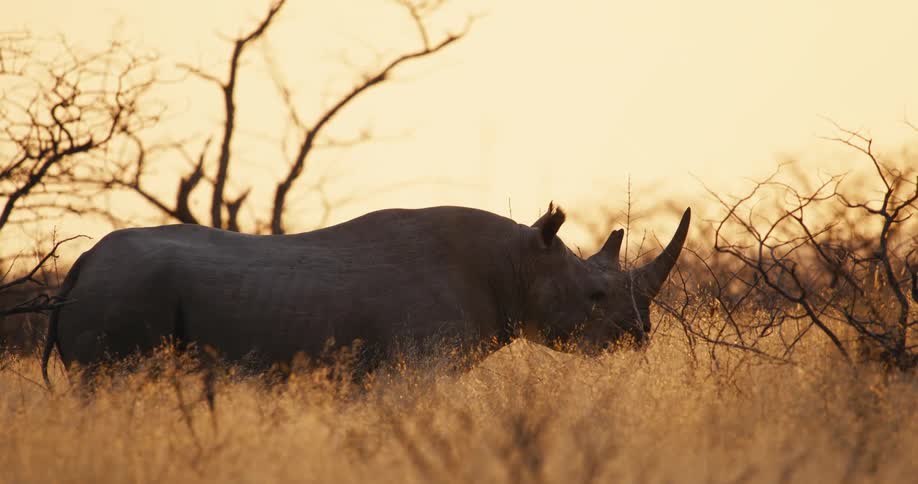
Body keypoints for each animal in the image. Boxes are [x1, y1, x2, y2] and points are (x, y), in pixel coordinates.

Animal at [41, 204, 690, 385]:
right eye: (596, 296)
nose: (640, 339)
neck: (519, 262)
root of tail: (82, 265)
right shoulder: (418, 366)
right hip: (121, 294)